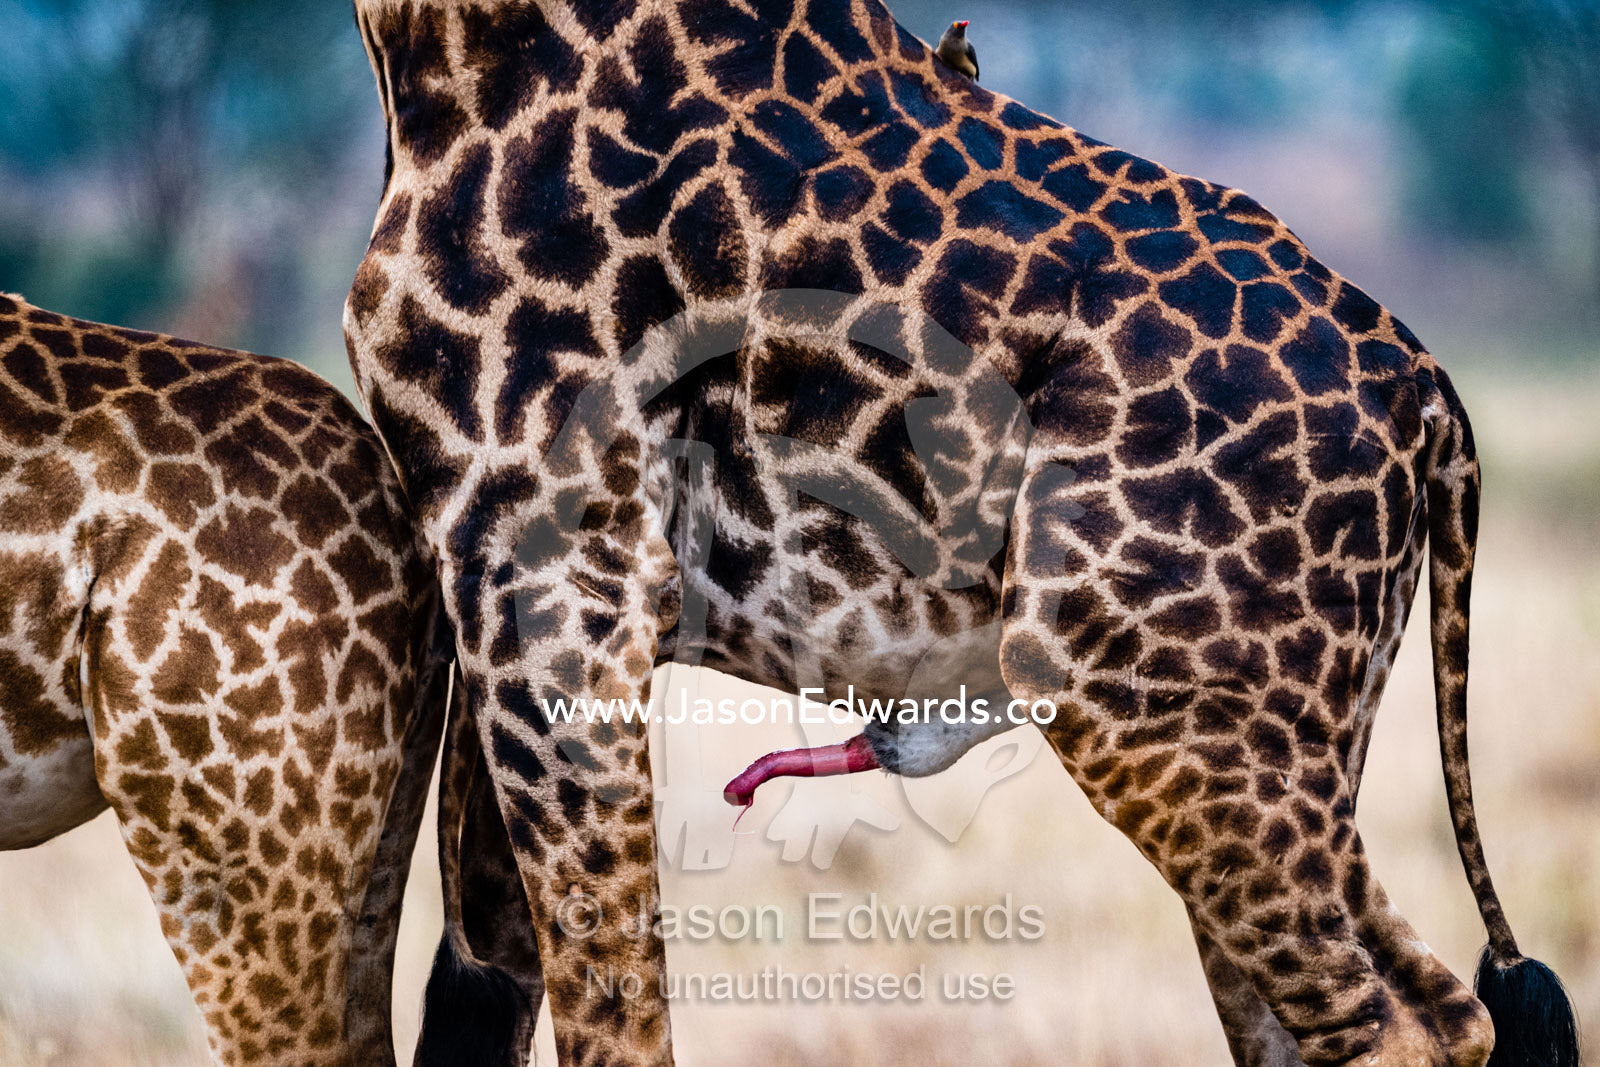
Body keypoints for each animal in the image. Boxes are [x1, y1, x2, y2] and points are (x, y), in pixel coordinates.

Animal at [343, 1, 1581, 1064]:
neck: (447, 48)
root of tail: (1429, 401)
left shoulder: (554, 570)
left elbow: (609, 1013)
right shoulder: (486, 566)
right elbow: (478, 986)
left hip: (1155, 711)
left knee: (1415, 1021)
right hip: (1289, 740)